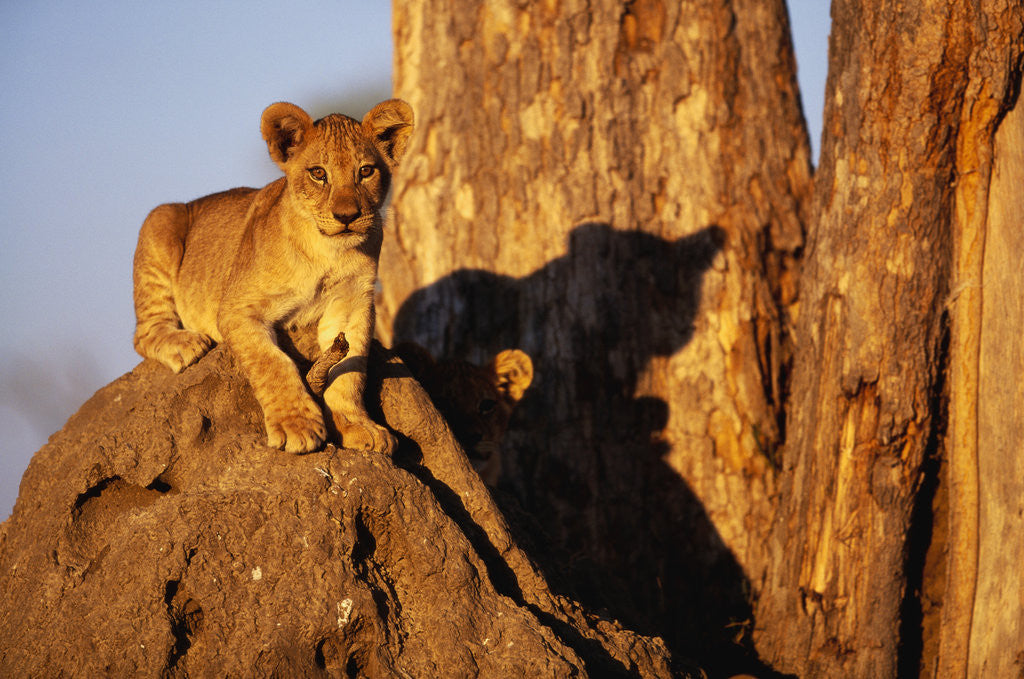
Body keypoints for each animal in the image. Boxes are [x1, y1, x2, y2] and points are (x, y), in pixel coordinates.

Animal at [132, 99, 413, 454]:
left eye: (365, 171)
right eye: (318, 173)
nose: (347, 216)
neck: (328, 253)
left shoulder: (352, 305)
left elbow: (349, 371)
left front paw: (357, 425)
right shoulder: (237, 307)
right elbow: (273, 363)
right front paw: (297, 426)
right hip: (161, 218)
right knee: (143, 333)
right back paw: (185, 345)